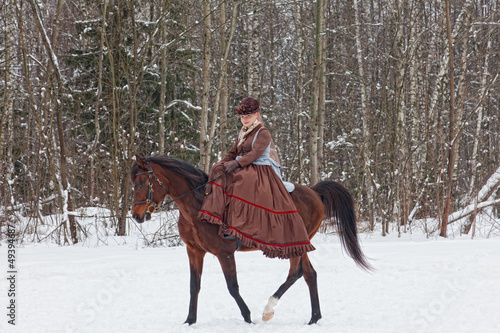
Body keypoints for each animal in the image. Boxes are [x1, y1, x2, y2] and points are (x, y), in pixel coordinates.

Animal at [130, 155, 372, 324]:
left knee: (297, 272)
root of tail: (313, 192)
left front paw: (247, 317)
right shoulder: (194, 251)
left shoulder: (225, 253)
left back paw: (268, 310)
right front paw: (189, 321)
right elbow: (193, 286)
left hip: (296, 244)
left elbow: (232, 287)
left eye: (141, 183)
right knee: (309, 274)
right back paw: (314, 318)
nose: (136, 216)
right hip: (300, 245)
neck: (197, 205)